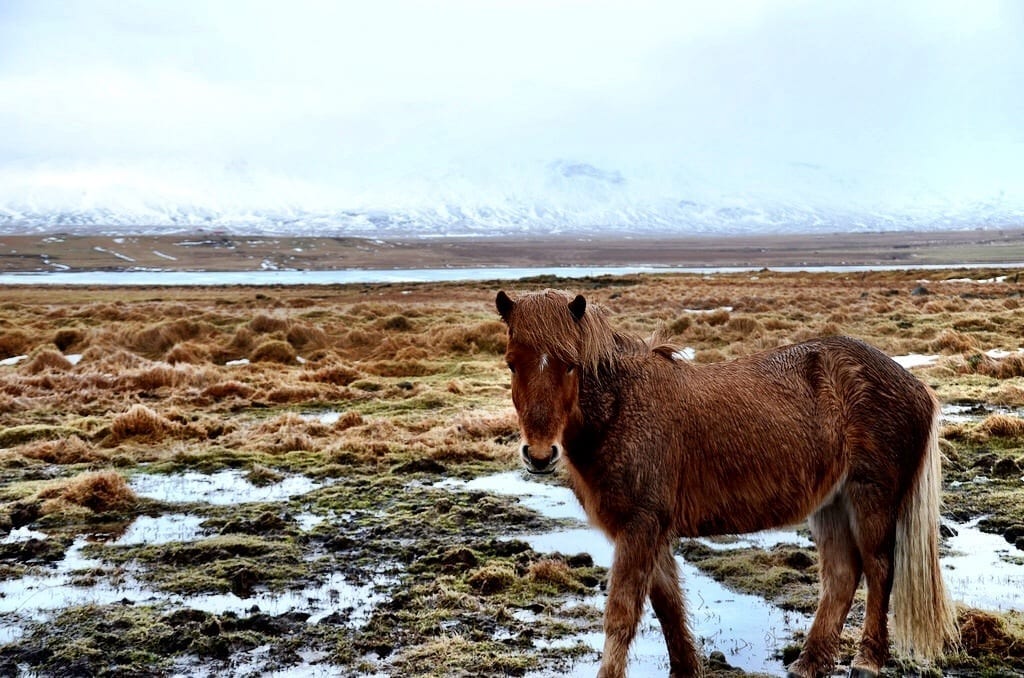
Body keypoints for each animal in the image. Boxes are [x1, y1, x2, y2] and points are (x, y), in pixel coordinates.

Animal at [495, 289, 957, 678]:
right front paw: (686, 669)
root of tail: (915, 386)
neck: (623, 408)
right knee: (842, 575)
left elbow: (621, 615)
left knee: (879, 569)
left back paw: (866, 661)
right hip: (832, 503)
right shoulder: (650, 530)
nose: (540, 455)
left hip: (870, 497)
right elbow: (668, 604)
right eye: (512, 363)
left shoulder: (640, 526)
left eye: (570, 364)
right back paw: (809, 663)